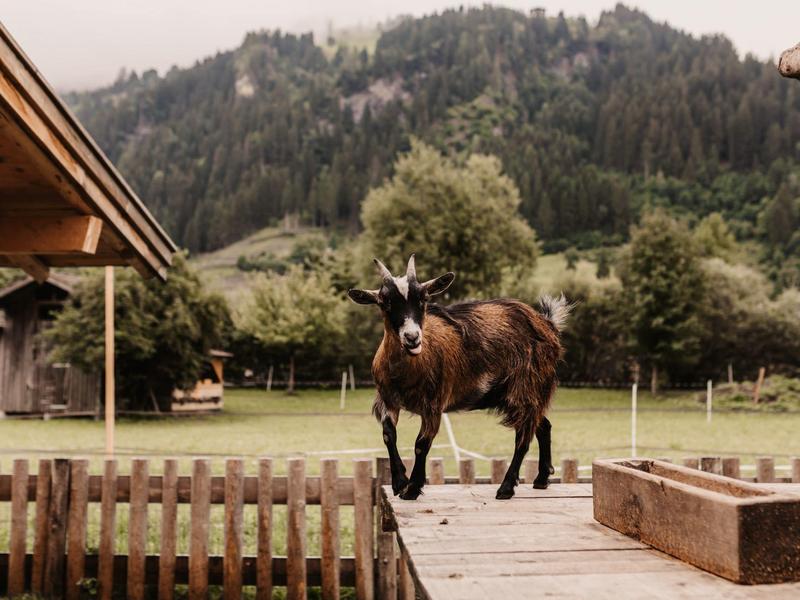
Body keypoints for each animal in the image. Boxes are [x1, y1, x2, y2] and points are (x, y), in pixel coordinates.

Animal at [348, 255, 571, 500]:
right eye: (385, 302)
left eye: (423, 299)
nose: (412, 337)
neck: (405, 370)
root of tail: (548, 324)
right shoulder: (388, 400)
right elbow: (389, 435)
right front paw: (399, 483)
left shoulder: (433, 404)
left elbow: (421, 444)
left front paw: (412, 489)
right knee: (543, 426)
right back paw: (541, 478)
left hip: (526, 386)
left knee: (523, 437)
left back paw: (506, 487)